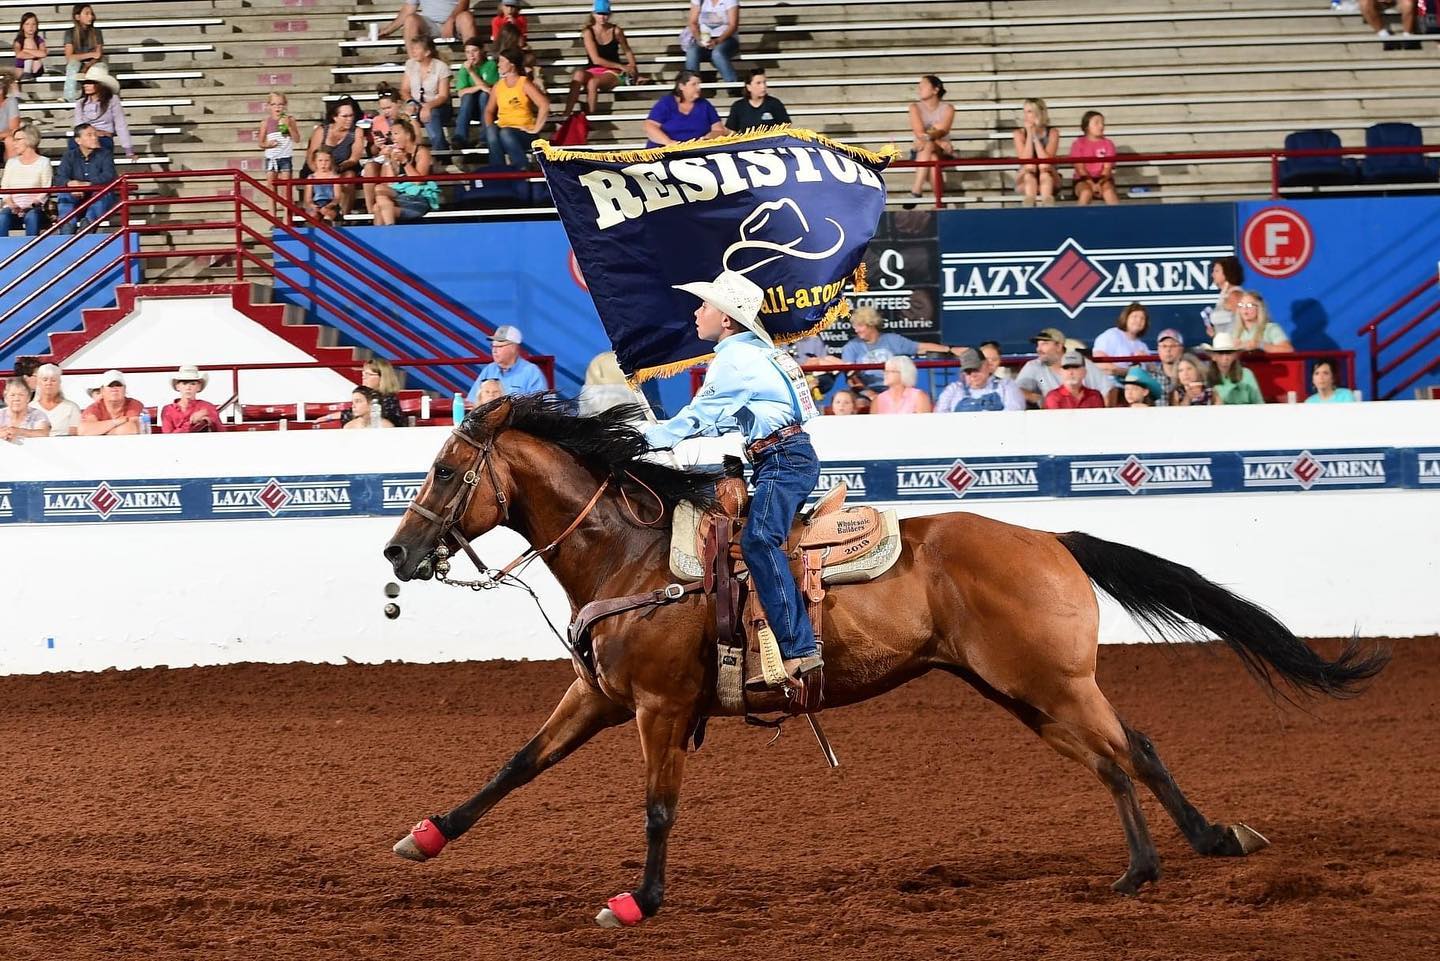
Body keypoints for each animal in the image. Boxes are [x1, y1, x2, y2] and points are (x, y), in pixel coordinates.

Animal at [380, 394, 1382, 927]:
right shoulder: (596, 694)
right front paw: (424, 835)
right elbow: (515, 764)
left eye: (444, 470)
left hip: (1047, 681)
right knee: (1121, 752)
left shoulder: (659, 707)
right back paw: (1172, 855)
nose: (396, 552)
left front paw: (640, 900)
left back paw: (1178, 854)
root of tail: (1049, 537)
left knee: (1126, 749)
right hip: (1022, 689)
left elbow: (658, 806)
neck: (633, 554)